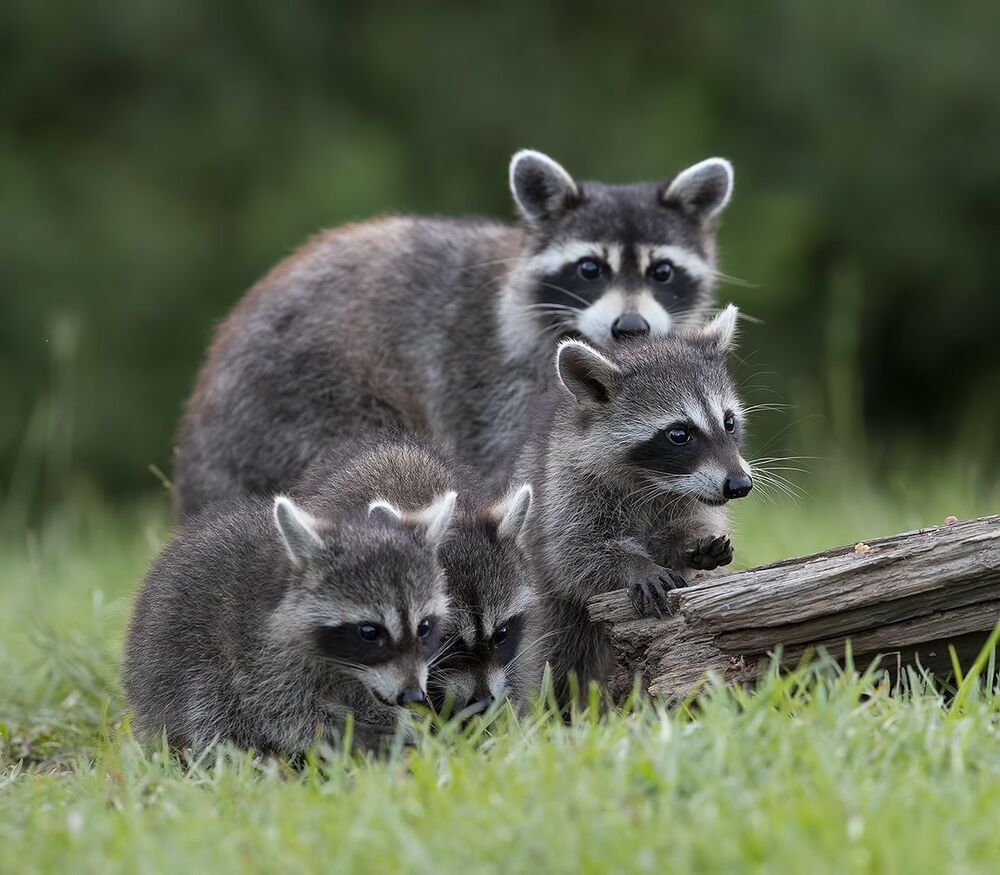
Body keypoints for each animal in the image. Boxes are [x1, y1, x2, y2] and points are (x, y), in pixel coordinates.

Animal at [122, 489, 456, 755]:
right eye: (369, 632)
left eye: (424, 627)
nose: (412, 696)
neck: (347, 670)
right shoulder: (259, 650)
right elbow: (280, 711)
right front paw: (350, 736)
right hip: (174, 659)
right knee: (211, 703)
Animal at [174, 149, 735, 515]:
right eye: (590, 269)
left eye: (662, 272)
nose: (631, 327)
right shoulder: (480, 371)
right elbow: (503, 468)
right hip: (301, 407)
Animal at [513, 306, 752, 704]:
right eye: (679, 434)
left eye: (729, 422)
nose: (740, 485)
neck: (653, 482)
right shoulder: (566, 487)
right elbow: (574, 553)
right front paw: (635, 564)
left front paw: (694, 543)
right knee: (557, 655)